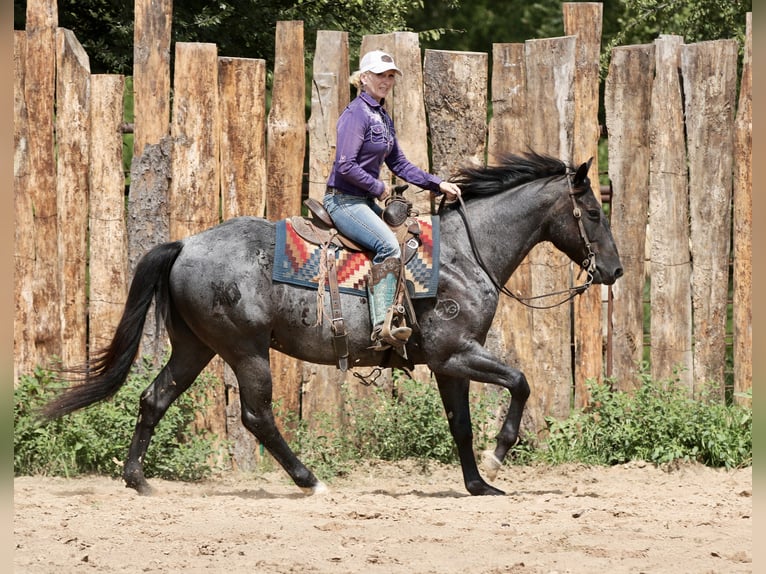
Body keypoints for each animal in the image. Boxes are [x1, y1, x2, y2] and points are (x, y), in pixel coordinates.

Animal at [43, 151, 623, 497]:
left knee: (154, 398)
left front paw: (480, 484)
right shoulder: (455, 352)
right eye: (594, 213)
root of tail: (184, 244)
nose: (615, 270)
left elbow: (459, 423)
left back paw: (137, 480)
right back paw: (310, 481)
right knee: (256, 416)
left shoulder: (448, 364)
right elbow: (520, 383)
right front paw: (498, 457)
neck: (463, 254)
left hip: (195, 347)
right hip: (245, 350)